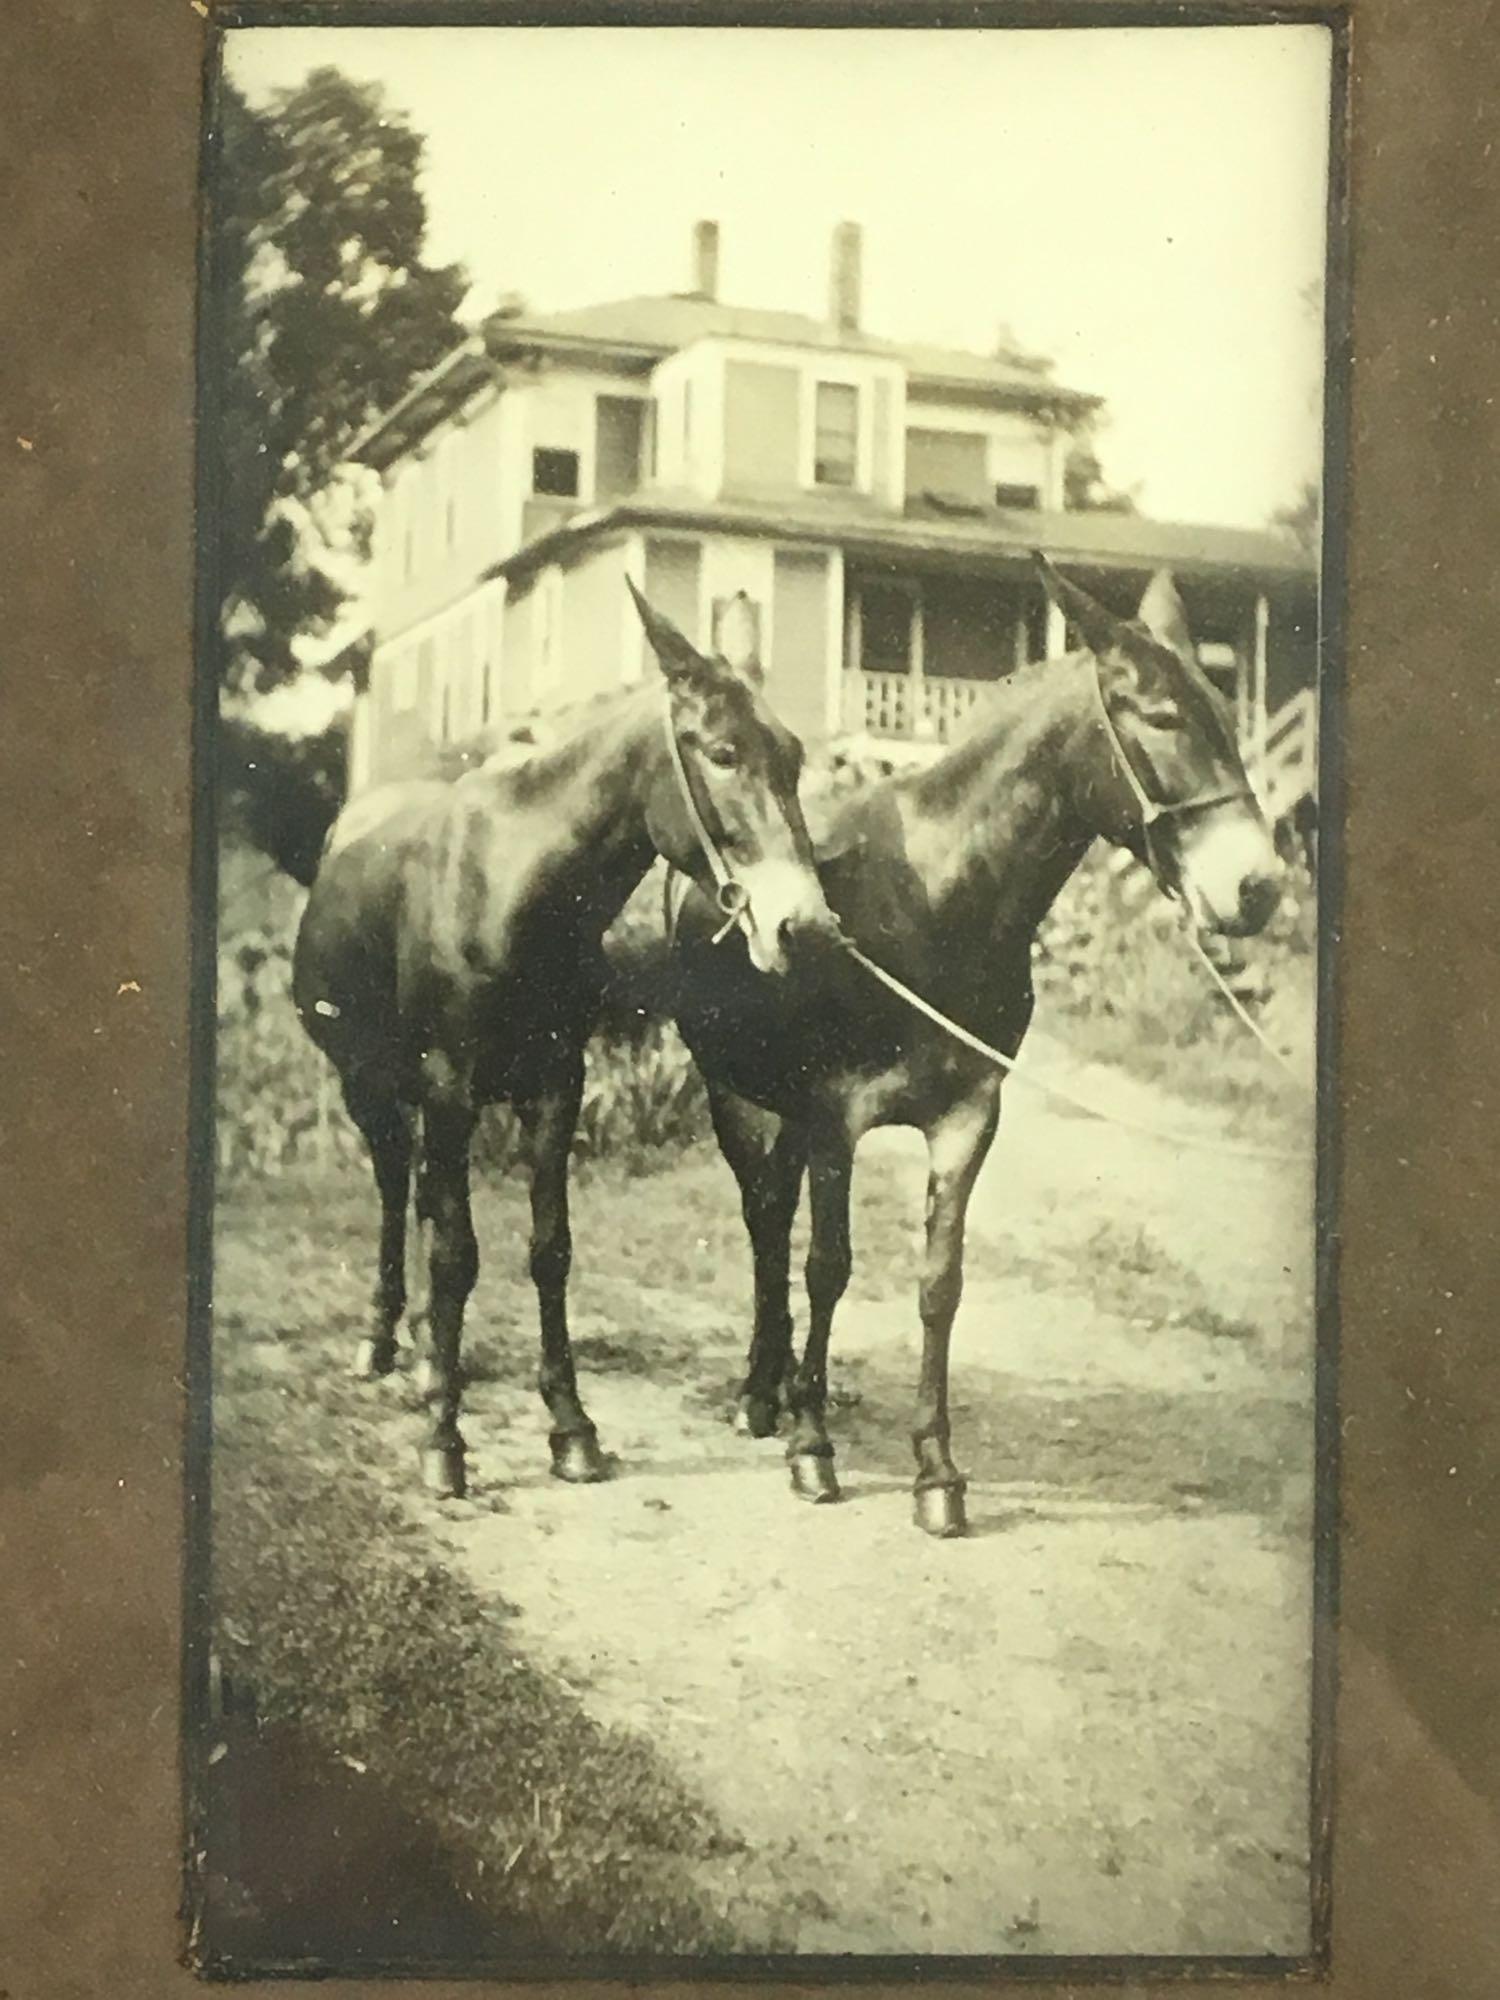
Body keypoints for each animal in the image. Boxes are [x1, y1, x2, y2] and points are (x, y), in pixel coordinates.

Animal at [292, 584, 836, 1496]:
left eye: (794, 756)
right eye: (723, 753)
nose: (805, 928)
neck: (510, 889)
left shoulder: (556, 1086)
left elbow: (549, 1250)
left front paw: (571, 1427)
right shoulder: (449, 1086)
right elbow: (457, 1256)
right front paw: (444, 1444)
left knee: (423, 1197)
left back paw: (429, 1356)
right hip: (367, 1081)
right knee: (397, 1189)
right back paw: (384, 1343)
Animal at [676, 556, 1288, 1536]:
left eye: (1229, 717)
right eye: (1161, 717)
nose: (1259, 889)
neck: (932, 896)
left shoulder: (967, 1117)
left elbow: (940, 1285)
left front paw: (936, 1471)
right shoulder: (835, 1117)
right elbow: (828, 1267)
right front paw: (815, 1449)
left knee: (772, 1218)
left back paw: (772, 1390)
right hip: (732, 1093)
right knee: (766, 1223)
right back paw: (766, 1399)